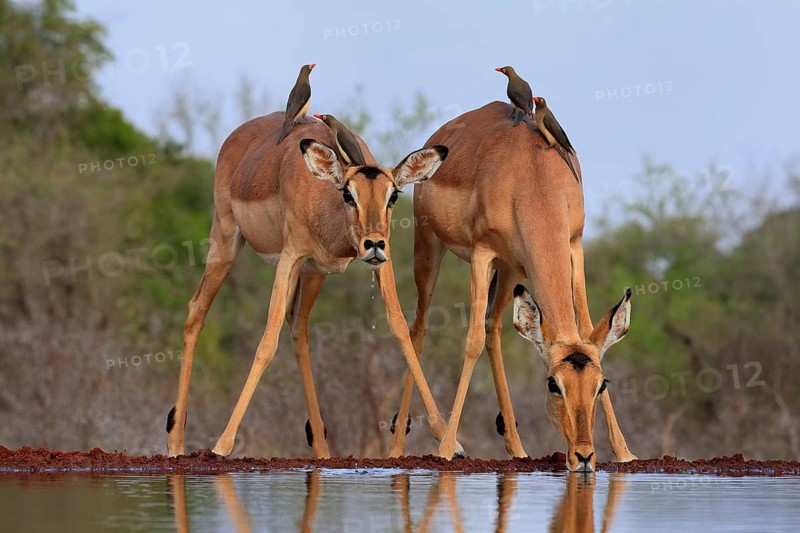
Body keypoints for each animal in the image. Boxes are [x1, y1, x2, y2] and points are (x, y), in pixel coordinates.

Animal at [166, 112, 461, 458]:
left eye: (394, 195)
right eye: (348, 193)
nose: (374, 243)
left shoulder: (377, 266)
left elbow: (401, 328)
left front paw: (451, 442)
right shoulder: (289, 258)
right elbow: (267, 342)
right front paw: (222, 445)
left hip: (313, 275)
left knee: (298, 332)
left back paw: (321, 448)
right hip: (226, 242)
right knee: (196, 310)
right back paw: (175, 442)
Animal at [389, 101, 636, 471]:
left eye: (601, 384)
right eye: (553, 384)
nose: (583, 456)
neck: (533, 176)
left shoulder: (572, 247)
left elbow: (587, 327)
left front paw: (624, 452)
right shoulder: (481, 254)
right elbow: (472, 341)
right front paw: (447, 449)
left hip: (510, 272)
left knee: (493, 329)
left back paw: (517, 449)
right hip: (430, 248)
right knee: (419, 329)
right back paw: (400, 448)